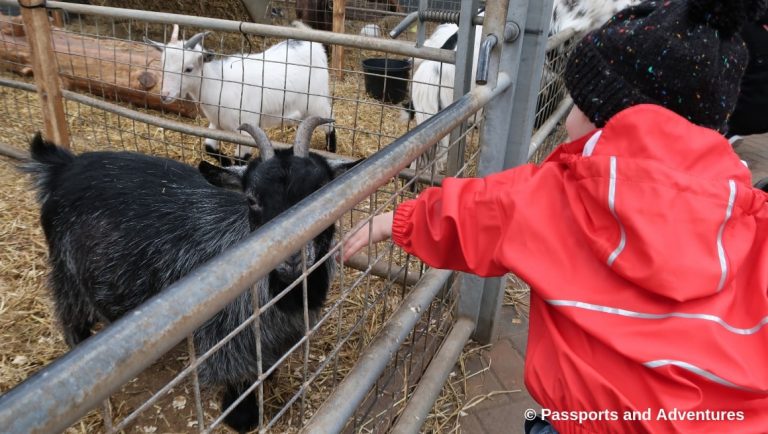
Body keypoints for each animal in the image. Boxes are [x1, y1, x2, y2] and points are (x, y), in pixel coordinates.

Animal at [24, 116, 358, 434]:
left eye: (323, 190)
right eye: (251, 199)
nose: (292, 259)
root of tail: (63, 167)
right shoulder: (226, 333)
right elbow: (238, 378)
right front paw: (241, 416)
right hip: (67, 270)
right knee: (71, 316)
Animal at [145, 22, 336, 159]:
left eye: (188, 69)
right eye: (163, 65)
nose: (165, 95)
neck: (219, 84)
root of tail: (312, 43)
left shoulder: (246, 130)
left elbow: (240, 159)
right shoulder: (216, 123)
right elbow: (209, 147)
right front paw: (225, 162)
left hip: (316, 100)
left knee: (329, 123)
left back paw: (331, 151)